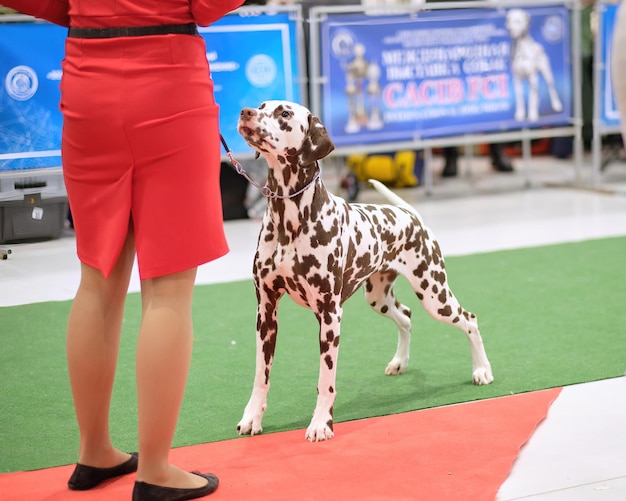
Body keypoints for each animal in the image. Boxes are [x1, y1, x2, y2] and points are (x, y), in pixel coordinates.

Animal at [235, 100, 492, 442]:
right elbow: (260, 376)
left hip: (435, 296)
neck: (289, 220)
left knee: (469, 320)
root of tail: (411, 215)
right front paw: (252, 418)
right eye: (262, 105)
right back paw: (399, 362)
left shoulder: (329, 316)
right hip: (379, 298)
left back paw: (482, 370)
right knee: (405, 316)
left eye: (284, 113)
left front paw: (321, 424)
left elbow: (325, 381)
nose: (245, 112)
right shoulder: (266, 311)